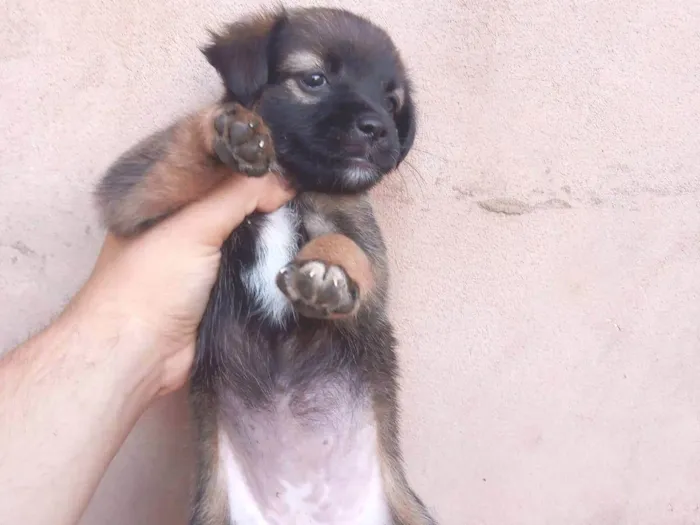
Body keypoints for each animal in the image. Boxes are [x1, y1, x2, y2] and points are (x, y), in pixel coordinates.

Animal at [95, 5, 434, 524]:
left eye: (392, 101)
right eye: (314, 79)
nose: (378, 128)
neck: (295, 182)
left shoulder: (368, 251)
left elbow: (346, 247)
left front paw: (328, 275)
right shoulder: (128, 195)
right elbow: (172, 161)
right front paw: (224, 134)